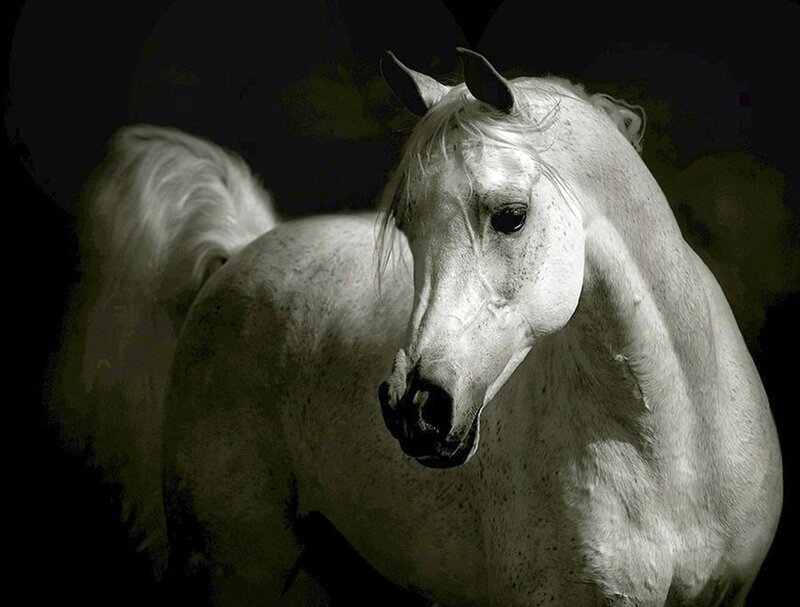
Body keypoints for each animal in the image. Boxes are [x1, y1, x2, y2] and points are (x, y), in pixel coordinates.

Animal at [55, 49, 782, 606]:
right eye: (405, 225)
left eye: (510, 215)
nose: (415, 407)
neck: (672, 446)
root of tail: (238, 257)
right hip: (241, 567)